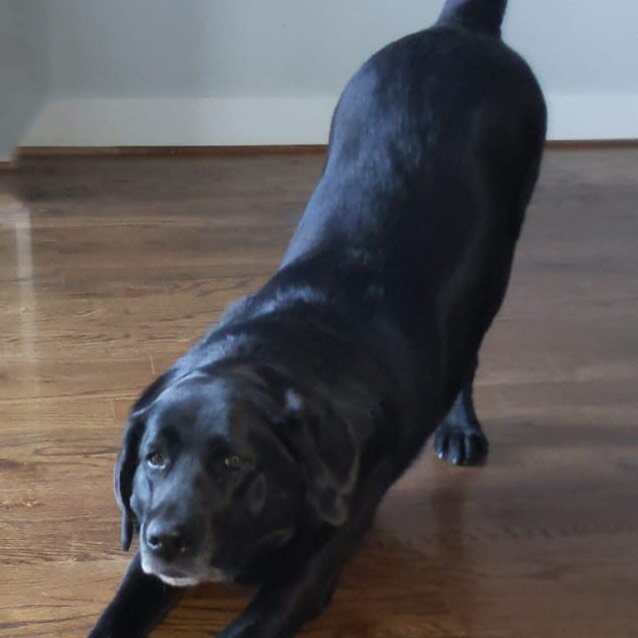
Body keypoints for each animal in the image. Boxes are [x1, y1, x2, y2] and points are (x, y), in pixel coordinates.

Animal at [90, 2, 548, 636]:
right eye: (154, 458)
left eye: (234, 462)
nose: (166, 540)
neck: (273, 357)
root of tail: (461, 30)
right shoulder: (146, 552)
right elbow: (114, 614)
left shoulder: (304, 580)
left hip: (497, 258)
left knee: (469, 352)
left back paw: (459, 428)